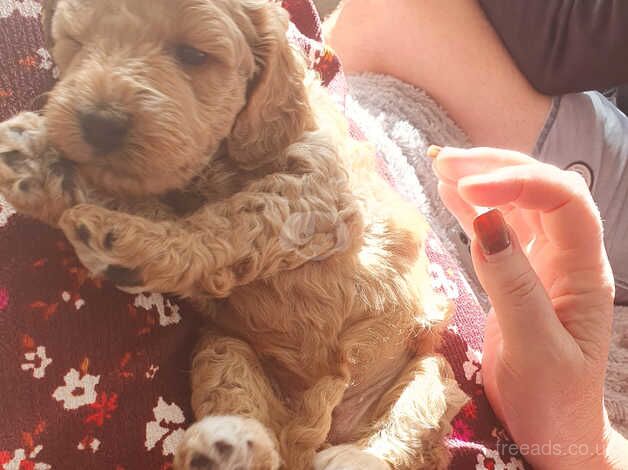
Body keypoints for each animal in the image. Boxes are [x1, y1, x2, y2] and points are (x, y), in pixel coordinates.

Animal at [0, 0, 466, 470]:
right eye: (77, 41)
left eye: (193, 55)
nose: (99, 123)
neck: (221, 160)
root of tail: (307, 436)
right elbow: (151, 202)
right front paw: (42, 167)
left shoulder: (322, 196)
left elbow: (233, 219)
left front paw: (130, 241)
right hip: (225, 350)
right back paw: (228, 447)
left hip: (426, 379)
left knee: (400, 440)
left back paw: (347, 459)